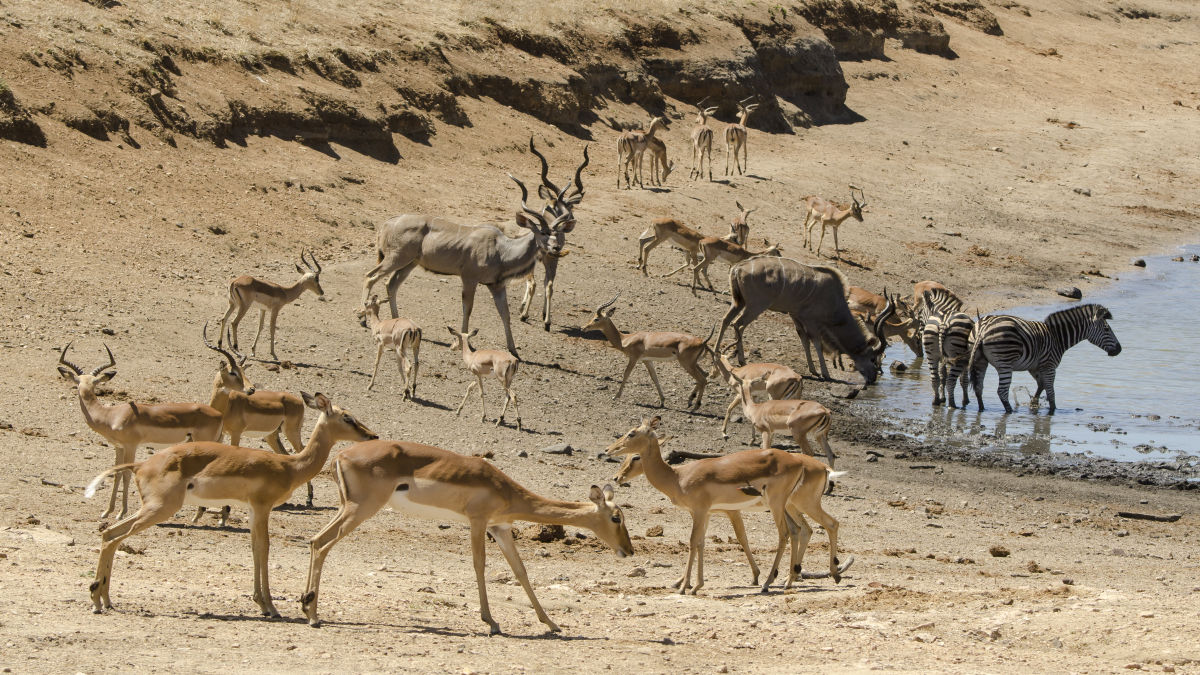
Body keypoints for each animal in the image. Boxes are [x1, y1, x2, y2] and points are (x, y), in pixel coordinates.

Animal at [964, 303, 1123, 410]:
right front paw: (1052, 411)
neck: (1057, 337)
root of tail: (983, 328)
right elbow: (1051, 392)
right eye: (1107, 329)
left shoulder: (1035, 367)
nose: (1119, 349)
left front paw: (1034, 404)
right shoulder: (1050, 366)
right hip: (1005, 363)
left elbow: (1041, 386)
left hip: (980, 360)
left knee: (978, 387)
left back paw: (982, 409)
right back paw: (1009, 412)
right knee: (1002, 392)